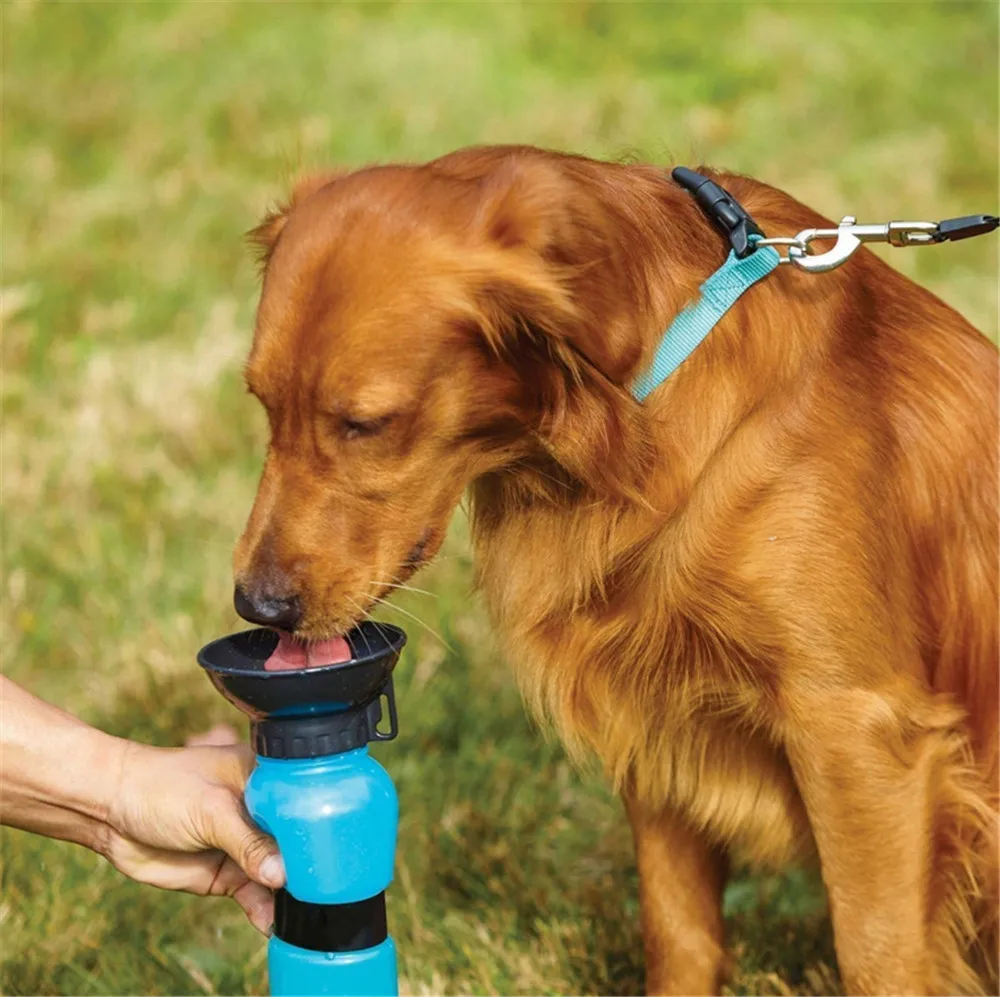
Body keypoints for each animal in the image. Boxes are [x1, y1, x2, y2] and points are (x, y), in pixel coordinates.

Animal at [230, 146, 996, 996]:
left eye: (365, 423)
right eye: (262, 403)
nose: (257, 605)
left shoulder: (860, 731)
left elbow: (876, 953)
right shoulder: (657, 710)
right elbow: (677, 932)